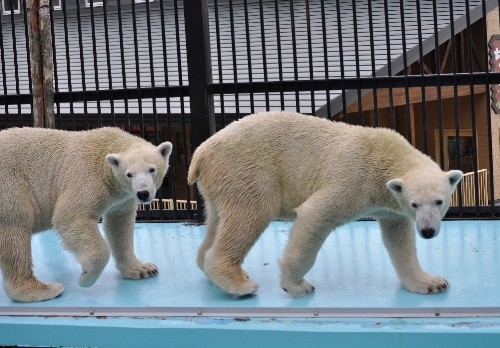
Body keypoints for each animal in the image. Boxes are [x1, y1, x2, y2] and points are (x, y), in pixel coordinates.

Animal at [0, 127, 173, 302]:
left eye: (152, 169)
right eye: (129, 174)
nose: (143, 193)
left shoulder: (122, 197)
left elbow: (120, 225)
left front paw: (143, 269)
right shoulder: (87, 178)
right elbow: (71, 216)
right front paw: (86, 277)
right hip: (10, 183)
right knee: (15, 228)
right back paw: (42, 289)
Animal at [188, 113, 464, 298]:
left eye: (439, 202)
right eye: (415, 204)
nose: (428, 231)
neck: (385, 154)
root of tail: (200, 152)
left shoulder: (389, 207)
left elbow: (399, 239)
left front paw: (431, 282)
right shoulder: (354, 179)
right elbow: (316, 214)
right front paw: (296, 285)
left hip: (221, 183)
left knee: (217, 220)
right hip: (246, 171)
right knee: (250, 215)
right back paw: (241, 284)